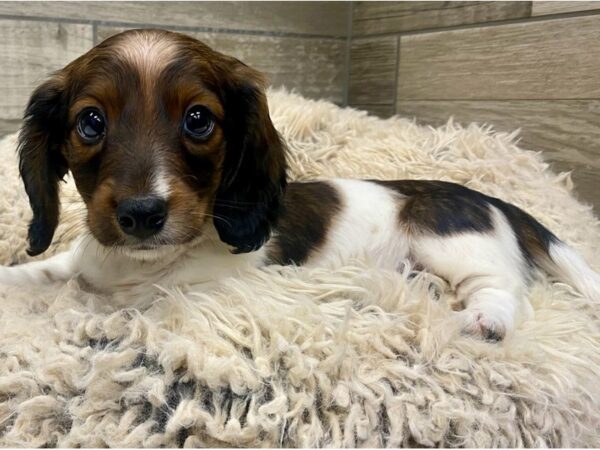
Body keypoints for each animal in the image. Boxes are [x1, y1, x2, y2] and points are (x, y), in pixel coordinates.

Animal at [1, 29, 600, 342]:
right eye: (90, 122)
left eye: (198, 119)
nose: (142, 215)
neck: (137, 265)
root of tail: (491, 198)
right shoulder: (82, 263)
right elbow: (43, 273)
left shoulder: (187, 289)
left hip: (454, 244)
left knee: (506, 290)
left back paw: (484, 320)